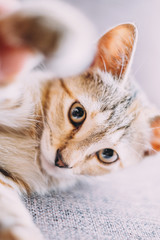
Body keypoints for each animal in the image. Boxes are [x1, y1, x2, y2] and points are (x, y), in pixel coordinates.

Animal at [0, 0, 160, 240]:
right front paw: (49, 26)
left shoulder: (5, 181)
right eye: (77, 113)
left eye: (107, 155)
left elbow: (9, 211)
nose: (61, 162)